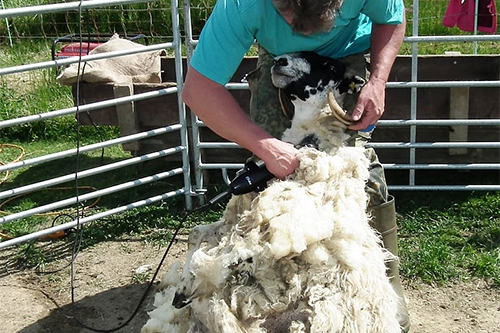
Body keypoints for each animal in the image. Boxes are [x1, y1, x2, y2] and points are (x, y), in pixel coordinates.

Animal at [143, 50, 400, 330]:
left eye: (329, 65)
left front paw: (188, 285)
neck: (312, 138)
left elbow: (221, 247)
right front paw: (183, 287)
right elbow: (195, 233)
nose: (280, 61)